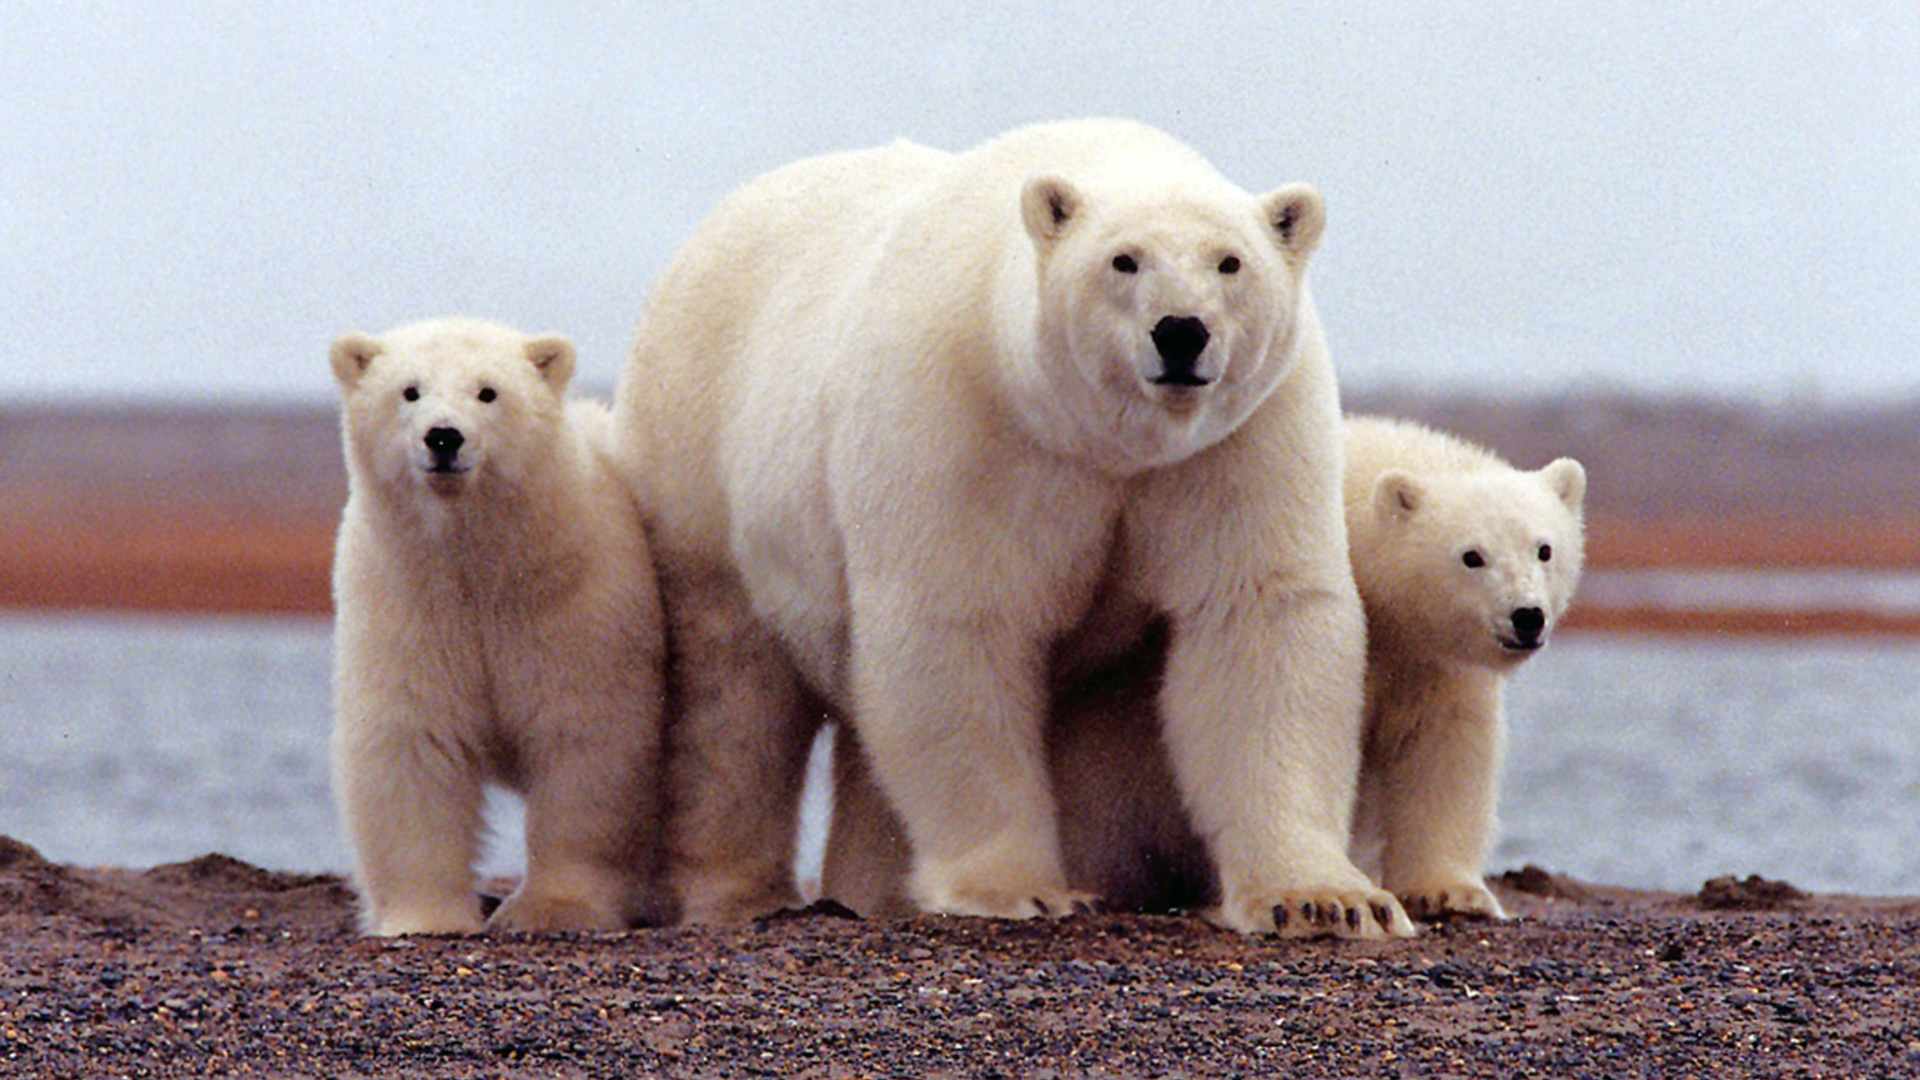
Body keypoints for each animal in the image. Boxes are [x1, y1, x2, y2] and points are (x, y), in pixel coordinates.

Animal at [329, 317, 667, 936]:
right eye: (409, 390)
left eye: (488, 391)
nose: (443, 437)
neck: (482, 568)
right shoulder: (407, 605)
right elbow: (413, 743)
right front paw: (426, 917)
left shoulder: (576, 606)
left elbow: (585, 742)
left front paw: (553, 909)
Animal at [612, 118, 1413, 938]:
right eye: (1124, 260)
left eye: (1231, 262)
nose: (1181, 332)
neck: (1101, 441)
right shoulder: (966, 422)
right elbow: (959, 626)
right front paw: (1017, 888)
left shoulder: (1239, 441)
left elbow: (1257, 617)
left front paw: (1325, 899)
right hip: (702, 459)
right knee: (733, 695)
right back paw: (738, 892)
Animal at [824, 415, 1588, 923]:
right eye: (1471, 556)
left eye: (1544, 548)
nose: (1526, 617)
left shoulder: (1429, 661)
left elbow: (1444, 750)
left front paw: (1450, 891)